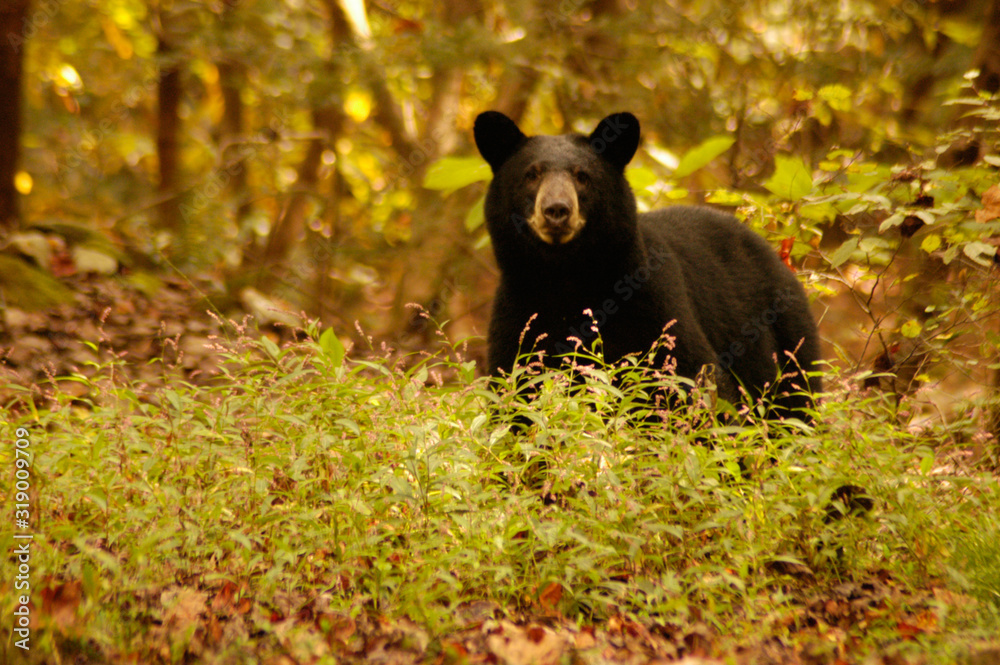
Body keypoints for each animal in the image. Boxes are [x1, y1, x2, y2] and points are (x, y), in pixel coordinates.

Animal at [473, 110, 822, 421]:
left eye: (582, 176)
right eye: (531, 174)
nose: (556, 210)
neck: (567, 276)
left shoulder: (652, 303)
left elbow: (695, 381)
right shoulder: (518, 311)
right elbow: (516, 394)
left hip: (787, 336)